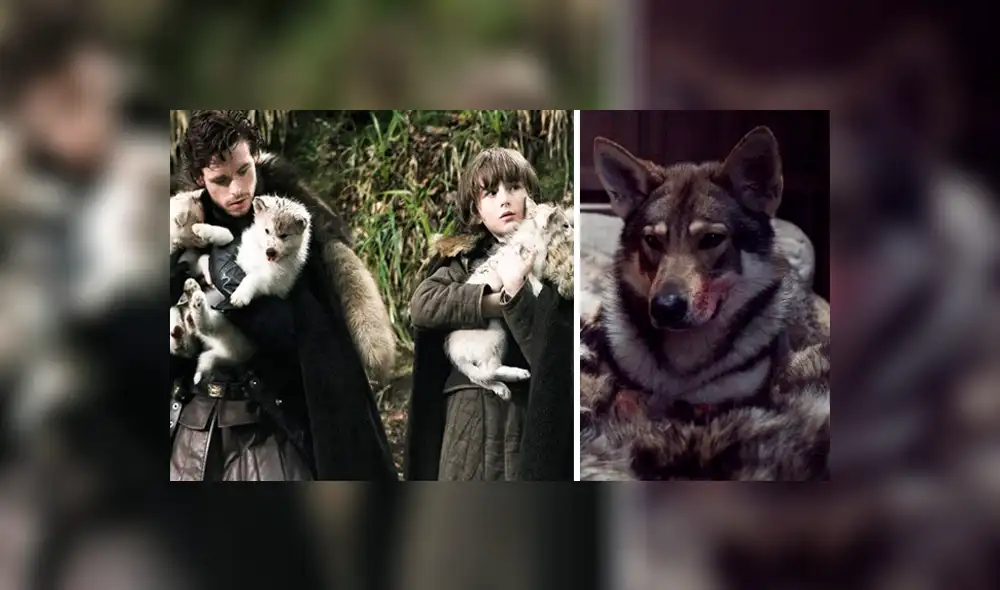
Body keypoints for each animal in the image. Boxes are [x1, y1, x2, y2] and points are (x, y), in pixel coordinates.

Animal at [444, 202, 574, 400]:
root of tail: (457, 355)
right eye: (565, 225)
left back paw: (505, 385)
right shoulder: (523, 265)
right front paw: (540, 291)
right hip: (495, 335)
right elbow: (531, 279)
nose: (575, 233)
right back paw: (517, 375)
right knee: (487, 371)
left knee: (481, 376)